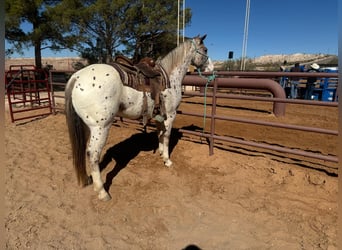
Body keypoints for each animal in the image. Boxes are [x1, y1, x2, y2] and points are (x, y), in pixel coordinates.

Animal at [64, 35, 208, 200]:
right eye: (205, 50)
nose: (211, 68)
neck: (170, 76)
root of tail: (76, 77)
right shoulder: (170, 115)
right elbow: (166, 137)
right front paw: (167, 160)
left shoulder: (160, 116)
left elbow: (160, 134)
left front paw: (160, 153)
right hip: (100, 127)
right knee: (93, 154)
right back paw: (102, 192)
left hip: (86, 126)